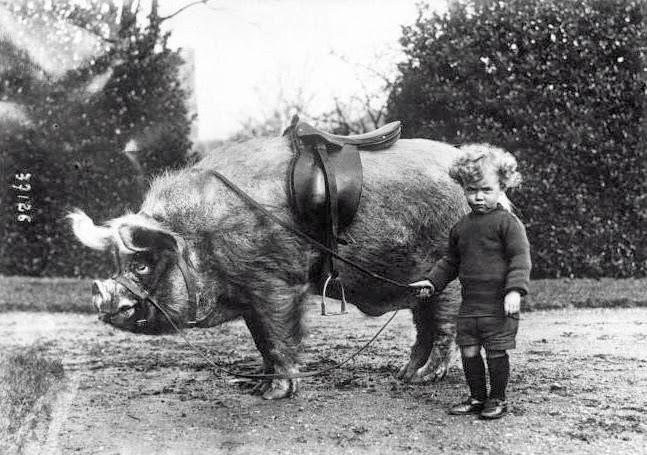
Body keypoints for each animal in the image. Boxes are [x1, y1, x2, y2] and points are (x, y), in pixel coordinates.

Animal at [69, 135, 466, 400]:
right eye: (118, 263)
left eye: (141, 265)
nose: (99, 293)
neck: (203, 236)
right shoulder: (249, 294)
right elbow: (261, 340)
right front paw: (257, 385)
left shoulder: (277, 282)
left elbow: (278, 336)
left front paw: (274, 394)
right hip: (419, 284)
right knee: (423, 328)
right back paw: (404, 375)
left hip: (448, 279)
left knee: (444, 328)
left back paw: (425, 379)